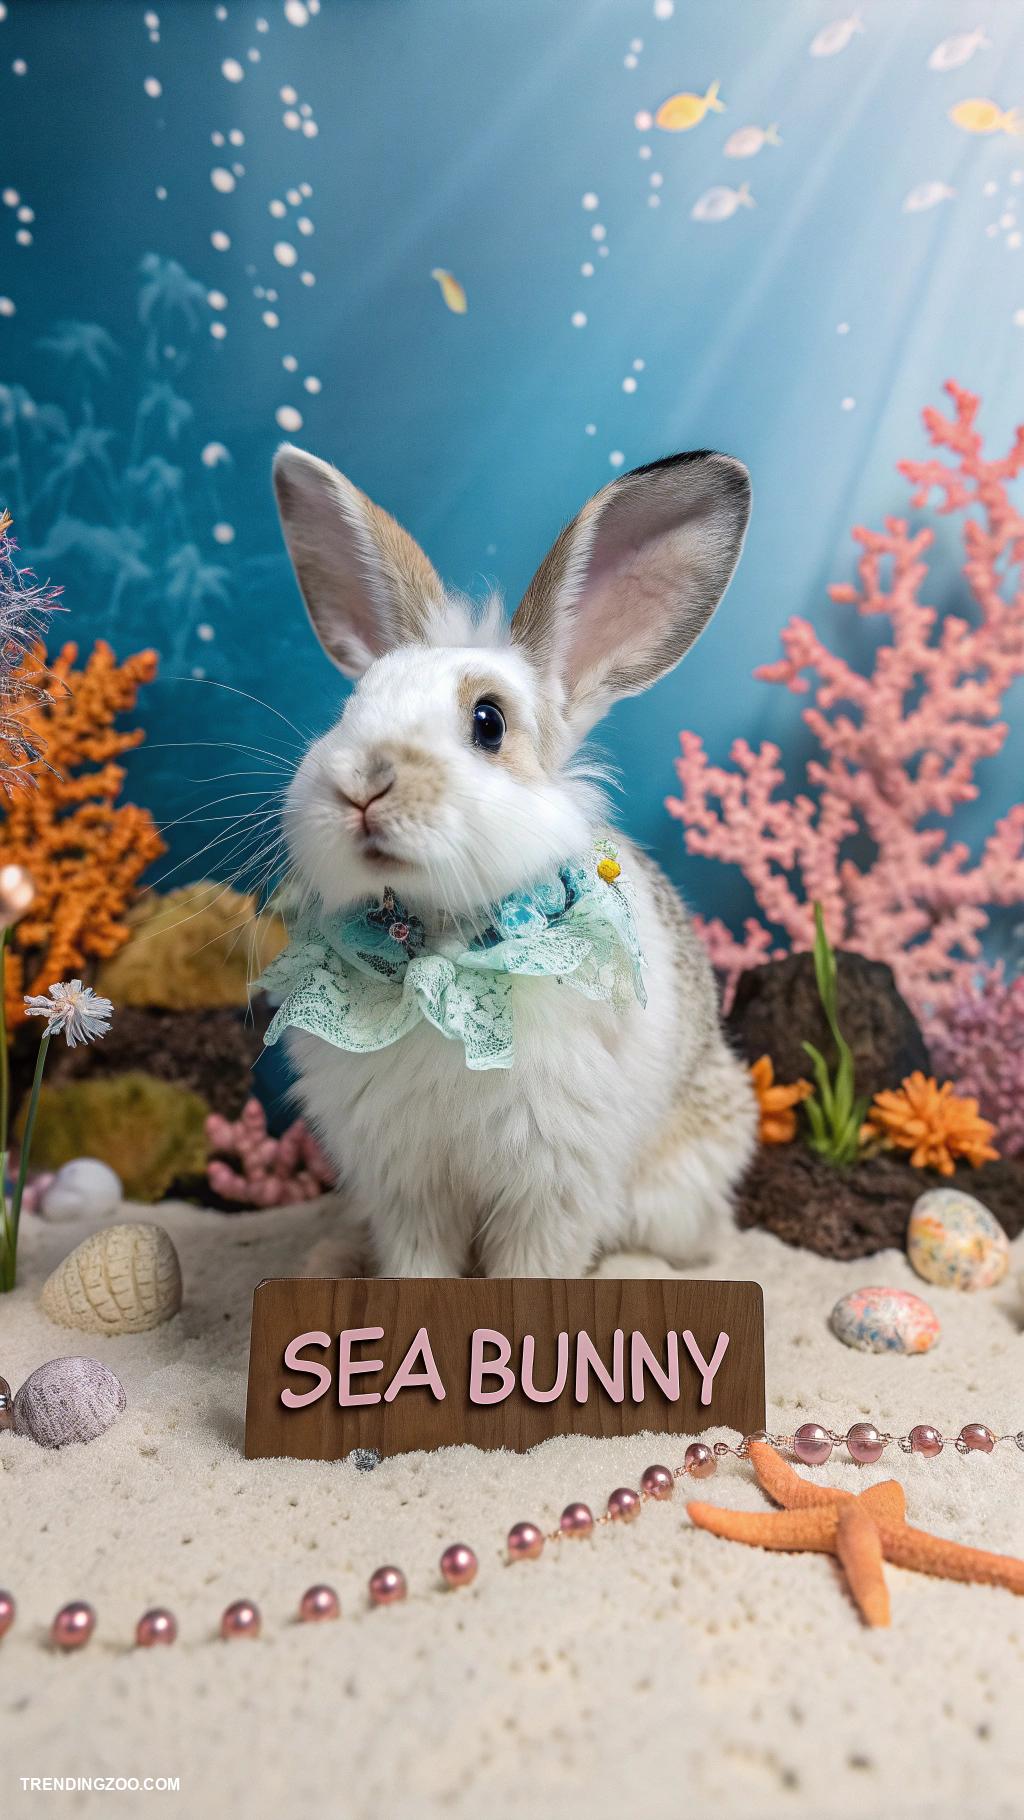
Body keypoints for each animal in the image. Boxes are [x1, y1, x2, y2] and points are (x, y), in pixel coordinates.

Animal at [270, 443, 758, 1279]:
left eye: (488, 722)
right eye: (349, 709)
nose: (359, 784)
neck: (443, 954)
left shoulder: (553, 1185)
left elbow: (533, 1267)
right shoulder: (406, 1186)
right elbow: (417, 1266)